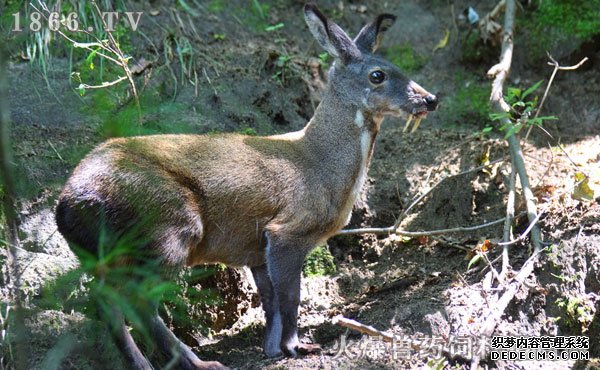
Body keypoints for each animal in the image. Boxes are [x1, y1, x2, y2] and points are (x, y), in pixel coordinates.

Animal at [55, 3, 436, 370]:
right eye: (378, 75)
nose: (430, 99)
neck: (322, 168)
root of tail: (66, 205)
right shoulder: (288, 229)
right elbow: (291, 296)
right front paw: (297, 346)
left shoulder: (255, 248)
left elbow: (271, 301)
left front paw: (272, 349)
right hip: (166, 225)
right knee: (137, 301)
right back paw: (200, 363)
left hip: (105, 252)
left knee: (106, 301)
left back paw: (143, 363)